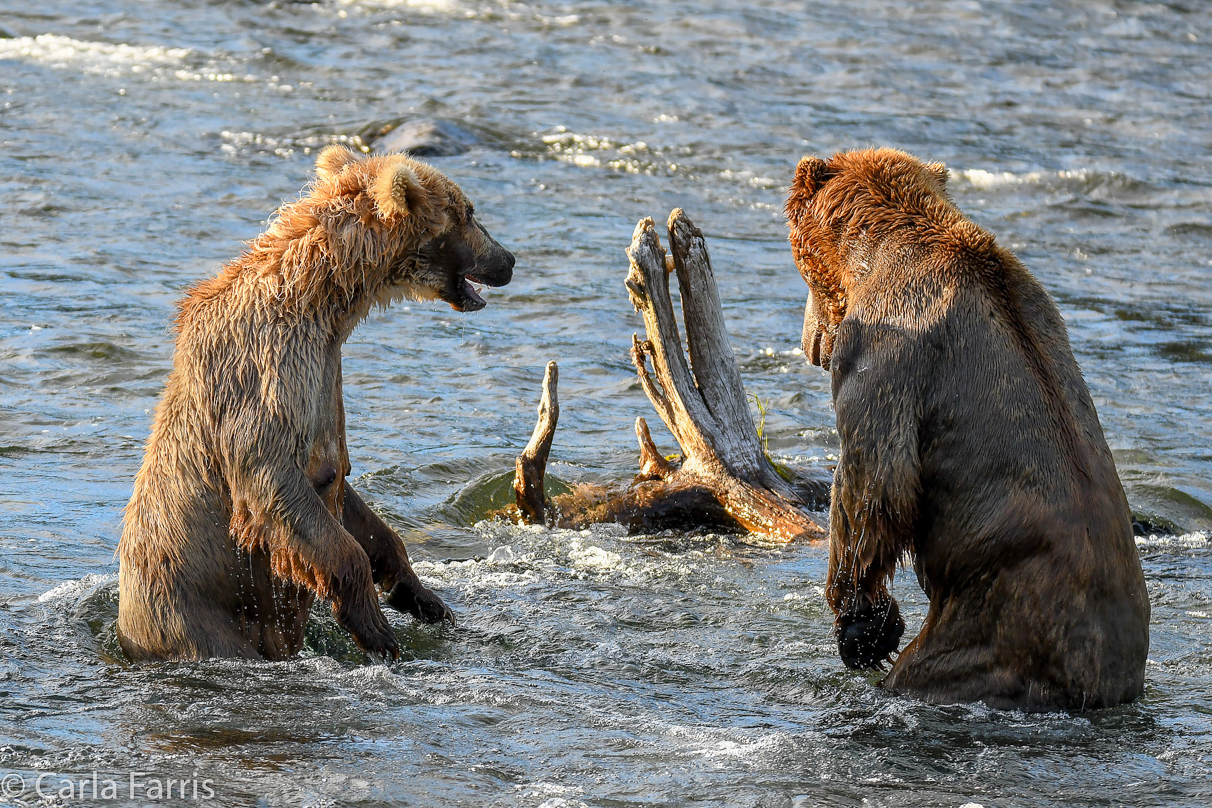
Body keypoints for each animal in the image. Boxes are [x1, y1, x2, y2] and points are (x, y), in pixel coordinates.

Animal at [121, 145, 516, 663]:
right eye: (469, 212)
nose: (509, 259)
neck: (322, 303)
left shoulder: (328, 377)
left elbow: (353, 501)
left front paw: (422, 596)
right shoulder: (270, 366)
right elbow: (273, 479)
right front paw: (376, 628)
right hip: (192, 616)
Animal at [785, 148, 1144, 712]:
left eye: (806, 278)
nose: (810, 344)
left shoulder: (886, 351)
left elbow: (875, 484)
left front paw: (863, 627)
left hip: (983, 633)